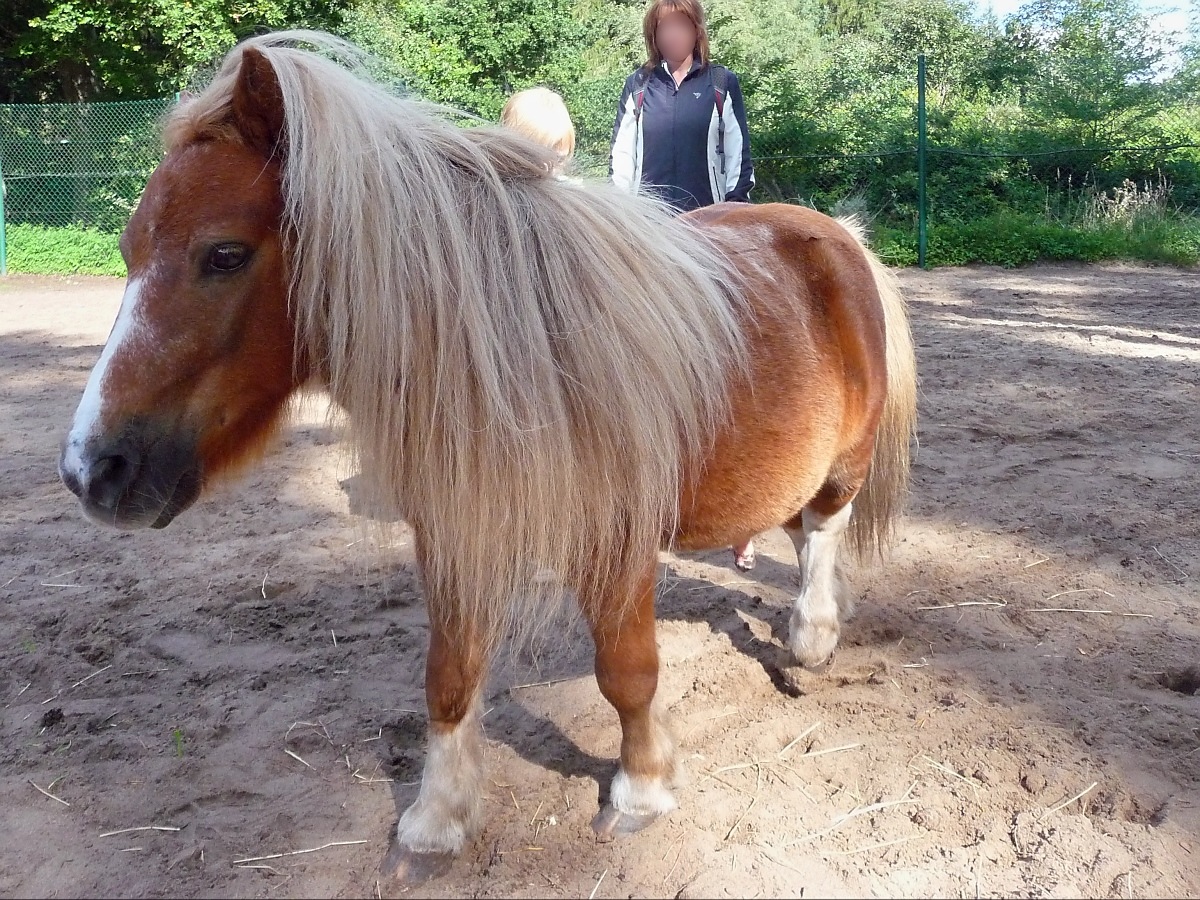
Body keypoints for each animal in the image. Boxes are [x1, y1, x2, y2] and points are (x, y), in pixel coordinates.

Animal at [56, 33, 916, 888]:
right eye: (130, 252)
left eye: (225, 255)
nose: (91, 470)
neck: (526, 357)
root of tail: (836, 235)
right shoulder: (454, 530)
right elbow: (449, 676)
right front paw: (437, 819)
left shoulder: (616, 544)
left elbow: (627, 672)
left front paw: (640, 790)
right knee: (800, 532)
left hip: (843, 464)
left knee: (823, 531)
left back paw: (812, 637)